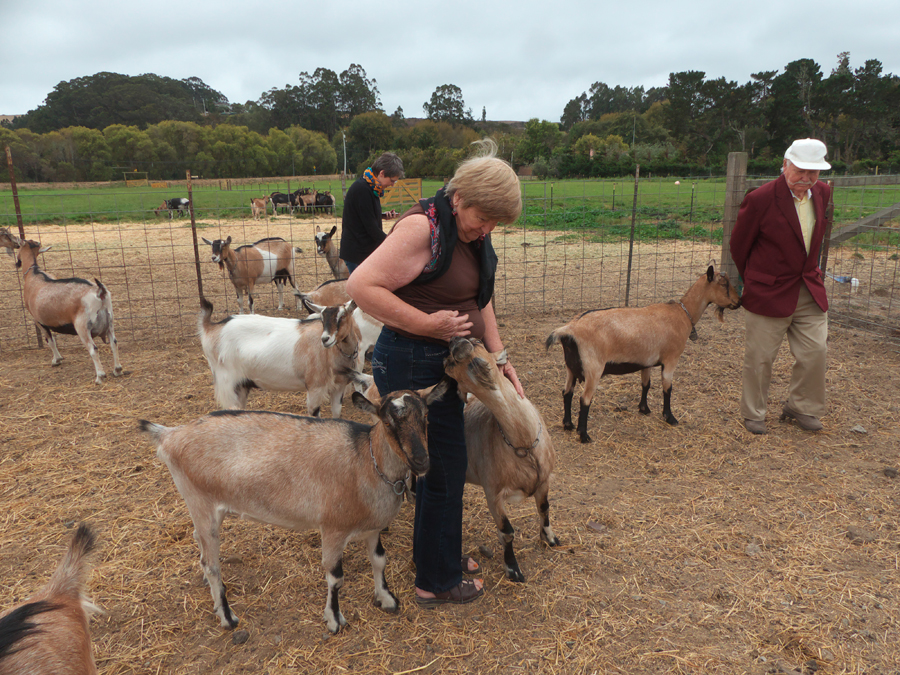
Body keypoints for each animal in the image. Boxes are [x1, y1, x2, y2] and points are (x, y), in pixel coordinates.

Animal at [200, 298, 362, 418]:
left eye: (342, 316)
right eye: (322, 319)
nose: (325, 339)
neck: (333, 354)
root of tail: (210, 328)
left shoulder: (339, 387)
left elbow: (336, 414)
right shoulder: (314, 387)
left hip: (242, 385)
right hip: (228, 382)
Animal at [544, 264, 740, 444]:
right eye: (724, 284)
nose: (738, 302)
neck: (683, 313)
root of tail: (569, 330)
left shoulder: (646, 361)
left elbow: (646, 384)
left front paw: (644, 409)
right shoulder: (671, 358)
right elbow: (667, 388)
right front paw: (670, 417)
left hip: (570, 368)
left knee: (567, 393)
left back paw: (568, 424)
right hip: (594, 368)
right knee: (584, 400)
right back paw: (584, 435)